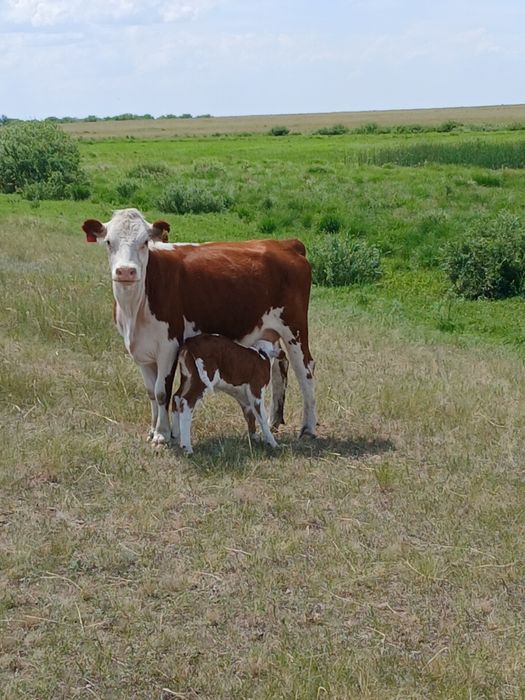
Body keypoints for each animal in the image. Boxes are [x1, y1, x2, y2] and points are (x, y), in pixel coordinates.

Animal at [82, 208, 316, 445]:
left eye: (145, 242)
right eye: (109, 242)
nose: (125, 271)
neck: (134, 309)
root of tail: (285, 243)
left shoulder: (169, 346)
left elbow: (161, 391)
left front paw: (162, 434)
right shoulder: (139, 350)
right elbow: (150, 391)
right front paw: (153, 430)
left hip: (294, 328)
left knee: (305, 370)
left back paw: (308, 428)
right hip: (270, 330)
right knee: (280, 365)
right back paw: (273, 421)